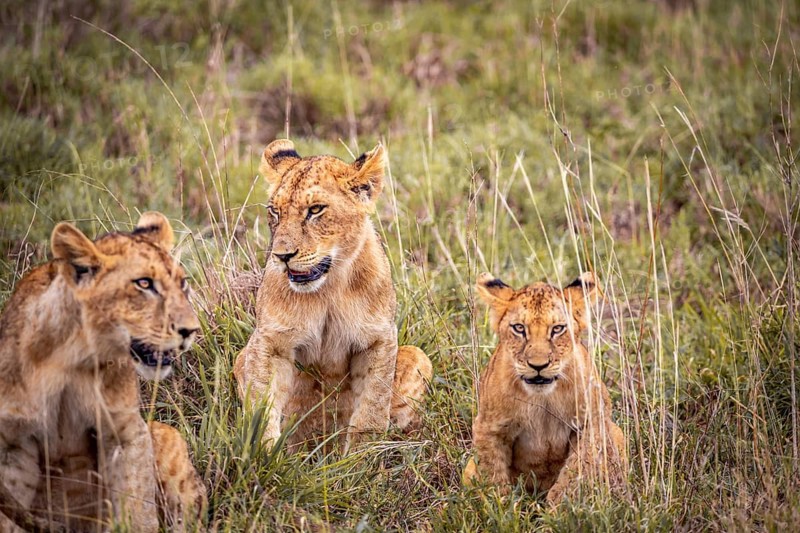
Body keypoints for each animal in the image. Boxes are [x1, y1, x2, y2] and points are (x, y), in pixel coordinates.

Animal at [0, 212, 206, 532]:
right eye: (144, 283)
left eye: (182, 284)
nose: (191, 330)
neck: (70, 359)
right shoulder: (13, 445)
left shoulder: (127, 432)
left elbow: (138, 511)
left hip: (165, 435)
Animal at [234, 139, 432, 452]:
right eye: (275, 211)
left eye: (315, 209)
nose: (282, 256)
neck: (327, 288)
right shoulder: (270, 341)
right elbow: (261, 403)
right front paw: (263, 453)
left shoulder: (378, 340)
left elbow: (372, 408)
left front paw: (362, 458)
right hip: (241, 356)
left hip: (419, 356)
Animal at [462, 272, 627, 505]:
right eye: (519, 328)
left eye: (557, 329)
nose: (538, 366)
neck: (543, 399)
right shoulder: (489, 428)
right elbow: (493, 475)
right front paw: (502, 508)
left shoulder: (592, 423)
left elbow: (574, 474)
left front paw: (559, 510)